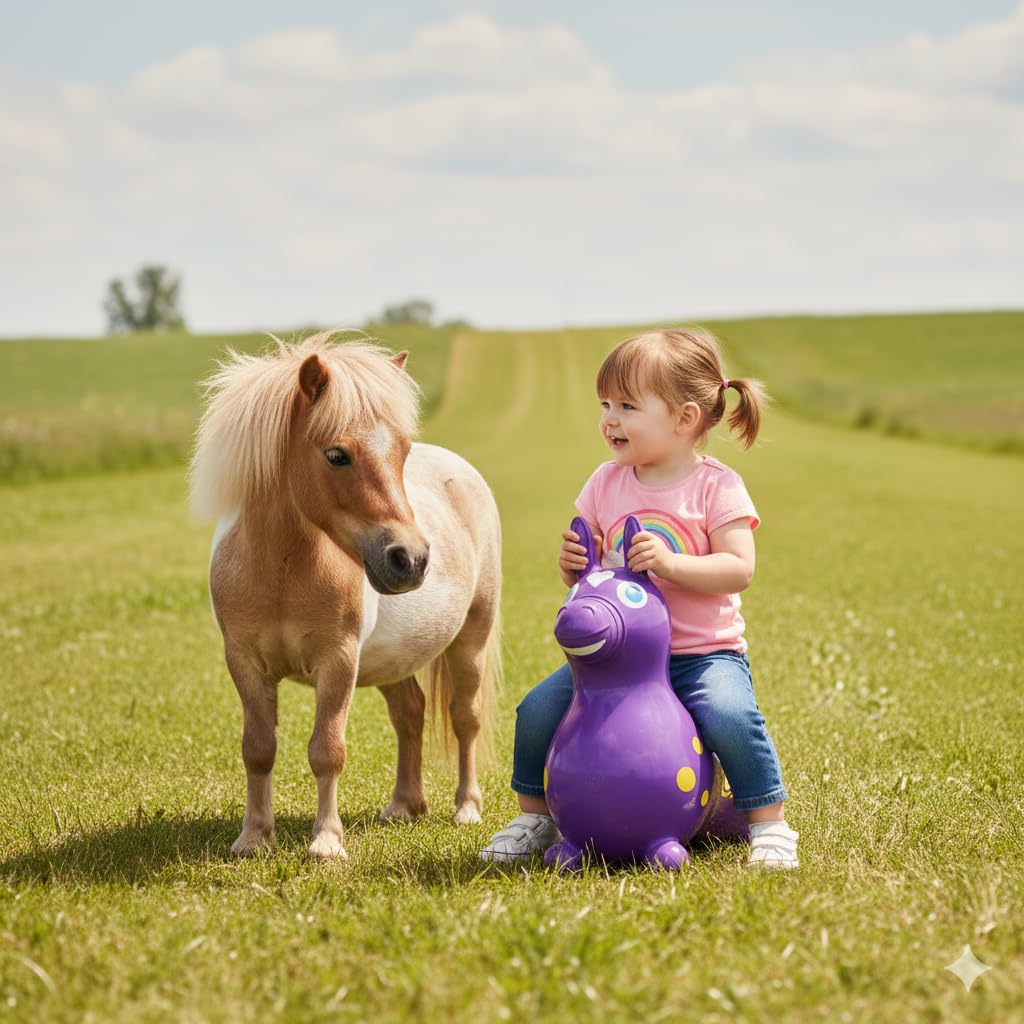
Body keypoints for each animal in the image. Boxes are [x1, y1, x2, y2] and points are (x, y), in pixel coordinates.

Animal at [189, 332, 502, 859]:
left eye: (402, 452)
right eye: (337, 455)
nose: (411, 558)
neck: (283, 573)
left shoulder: (338, 661)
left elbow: (327, 750)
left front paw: (327, 843)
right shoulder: (246, 664)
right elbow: (258, 749)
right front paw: (254, 838)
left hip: (471, 640)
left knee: (465, 718)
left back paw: (466, 808)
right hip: (396, 658)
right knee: (410, 713)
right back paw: (404, 806)